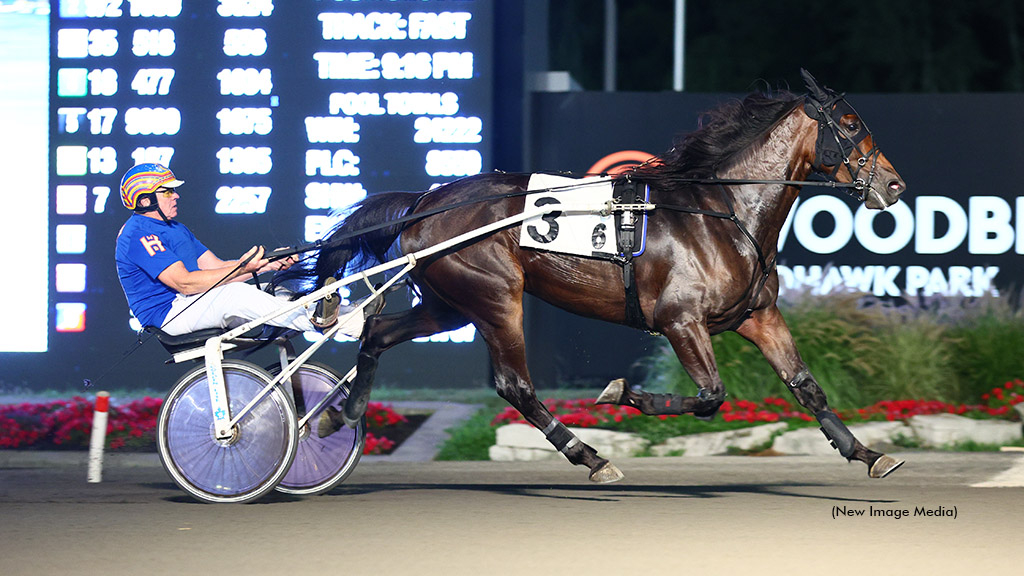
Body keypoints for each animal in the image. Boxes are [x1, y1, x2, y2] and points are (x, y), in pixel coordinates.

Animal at [309, 72, 905, 483]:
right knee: (515, 385)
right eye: (850, 124)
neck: (722, 210)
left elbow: (807, 386)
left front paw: (868, 453)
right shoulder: (680, 320)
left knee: (378, 333)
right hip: (495, 297)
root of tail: (425, 200)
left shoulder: (757, 316)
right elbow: (710, 395)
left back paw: (341, 416)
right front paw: (622, 394)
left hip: (449, 303)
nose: (894, 185)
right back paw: (590, 457)